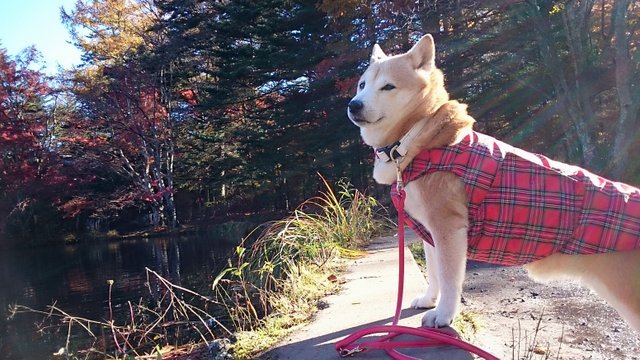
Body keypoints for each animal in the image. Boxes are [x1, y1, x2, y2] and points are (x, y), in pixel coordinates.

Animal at [348, 33, 640, 332]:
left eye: (388, 86)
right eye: (362, 84)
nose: (354, 104)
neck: (413, 140)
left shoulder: (448, 228)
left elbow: (449, 278)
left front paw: (443, 314)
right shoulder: (428, 232)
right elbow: (434, 273)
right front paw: (430, 300)